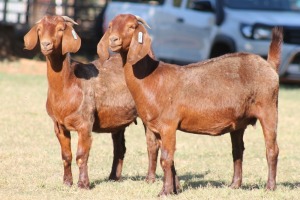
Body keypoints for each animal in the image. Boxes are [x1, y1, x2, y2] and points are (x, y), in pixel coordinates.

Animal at [23, 15, 159, 189]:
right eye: (39, 29)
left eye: (60, 29)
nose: (45, 44)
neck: (69, 83)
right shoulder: (58, 125)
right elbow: (66, 155)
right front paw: (67, 182)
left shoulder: (85, 123)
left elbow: (81, 155)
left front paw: (83, 184)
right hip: (117, 119)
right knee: (120, 147)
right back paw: (113, 177)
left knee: (152, 145)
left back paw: (150, 178)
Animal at [97, 14, 282, 197]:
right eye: (110, 26)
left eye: (131, 26)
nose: (113, 40)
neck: (152, 78)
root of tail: (269, 65)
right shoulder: (157, 127)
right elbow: (167, 158)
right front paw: (174, 189)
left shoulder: (168, 125)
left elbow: (166, 158)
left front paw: (164, 192)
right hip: (239, 123)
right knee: (237, 150)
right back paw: (234, 185)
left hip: (268, 109)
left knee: (272, 149)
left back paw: (270, 187)